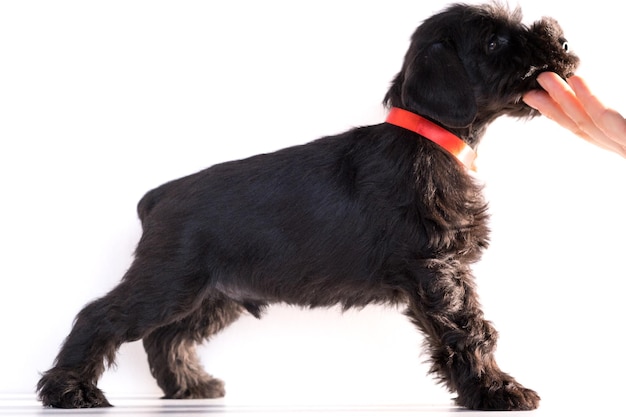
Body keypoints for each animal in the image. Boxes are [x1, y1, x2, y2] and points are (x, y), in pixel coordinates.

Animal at [37, 2, 576, 410]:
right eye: (494, 43)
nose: (564, 44)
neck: (430, 137)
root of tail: (159, 196)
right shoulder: (438, 269)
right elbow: (470, 330)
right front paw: (498, 390)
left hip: (214, 295)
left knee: (165, 338)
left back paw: (190, 385)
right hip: (167, 283)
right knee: (101, 316)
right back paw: (69, 390)